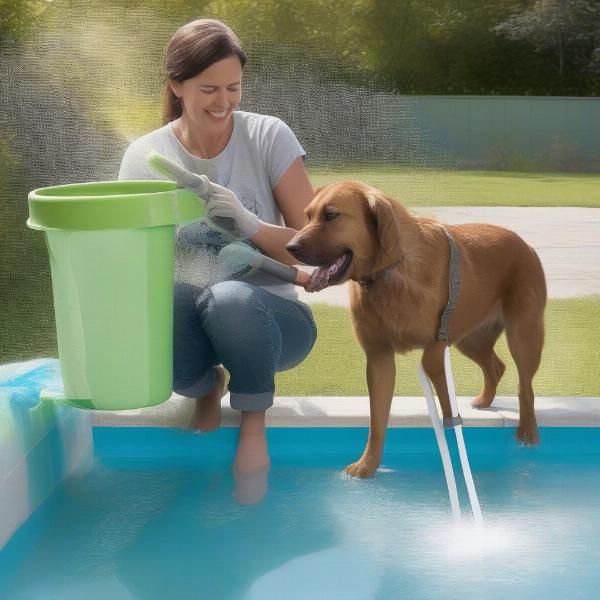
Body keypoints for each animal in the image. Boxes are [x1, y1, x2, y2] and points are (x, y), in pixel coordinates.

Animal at [288, 180, 548, 476]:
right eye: (308, 216)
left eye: (331, 215)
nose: (289, 246)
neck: (390, 270)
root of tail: (525, 244)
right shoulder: (379, 358)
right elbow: (377, 421)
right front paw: (368, 465)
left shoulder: (438, 345)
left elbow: (442, 395)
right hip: (470, 339)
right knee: (496, 366)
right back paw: (485, 400)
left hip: (523, 335)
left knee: (525, 386)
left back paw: (528, 430)